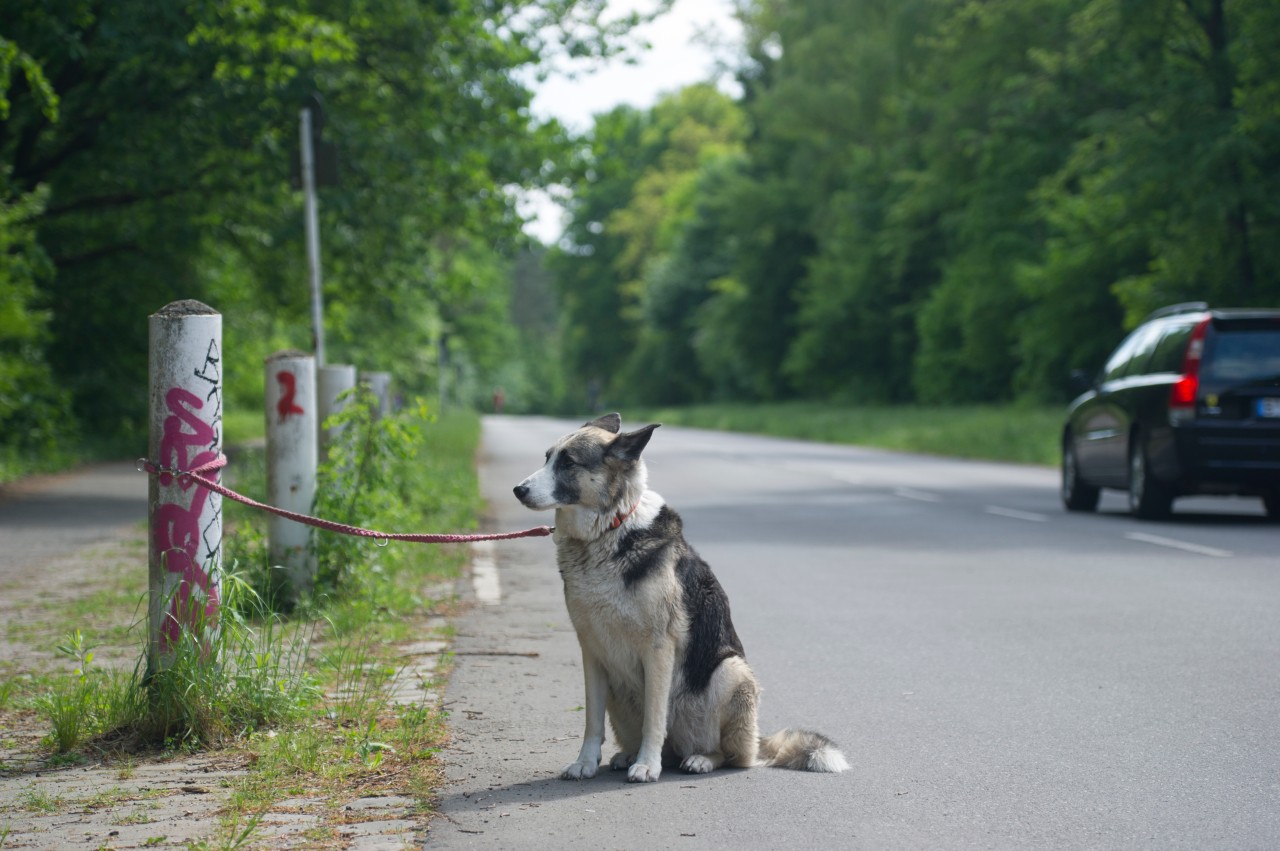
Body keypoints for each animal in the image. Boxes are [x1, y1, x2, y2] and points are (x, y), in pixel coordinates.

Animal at [509, 414, 849, 778]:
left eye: (568, 462)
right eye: (547, 458)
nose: (518, 490)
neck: (609, 530)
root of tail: (758, 741)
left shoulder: (658, 649)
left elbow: (654, 719)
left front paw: (647, 765)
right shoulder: (591, 652)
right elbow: (592, 721)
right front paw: (585, 762)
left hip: (731, 671)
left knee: (731, 755)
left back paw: (699, 759)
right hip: (620, 691)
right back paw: (631, 755)